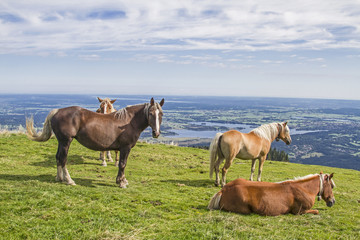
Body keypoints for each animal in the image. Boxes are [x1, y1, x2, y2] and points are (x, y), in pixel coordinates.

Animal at [25, 97, 165, 188]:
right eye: (150, 113)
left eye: (161, 114)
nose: (156, 133)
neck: (128, 122)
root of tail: (57, 111)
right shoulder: (125, 148)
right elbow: (122, 164)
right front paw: (121, 182)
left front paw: (123, 180)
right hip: (66, 141)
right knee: (63, 159)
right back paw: (69, 180)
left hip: (61, 142)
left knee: (58, 157)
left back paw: (59, 178)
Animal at [207, 172, 336, 216]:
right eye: (332, 186)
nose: (332, 201)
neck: (304, 189)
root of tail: (223, 190)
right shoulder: (299, 211)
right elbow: (316, 211)